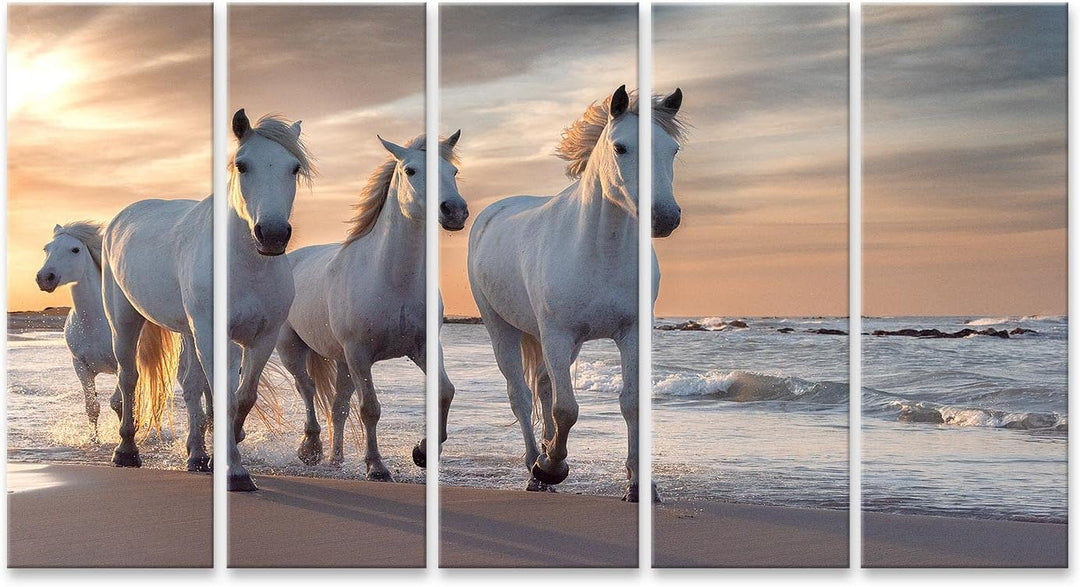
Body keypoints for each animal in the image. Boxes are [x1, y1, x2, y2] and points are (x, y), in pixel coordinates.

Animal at [36, 222, 209, 445]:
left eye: (75, 249)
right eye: (47, 249)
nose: (44, 278)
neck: (93, 323)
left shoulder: (121, 363)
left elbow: (118, 402)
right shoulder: (81, 366)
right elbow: (93, 407)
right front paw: (94, 440)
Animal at [102, 109, 310, 491]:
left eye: (294, 168)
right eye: (242, 165)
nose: (272, 235)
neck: (247, 267)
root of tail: (119, 220)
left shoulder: (263, 338)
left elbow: (242, 396)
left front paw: (230, 445)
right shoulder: (214, 332)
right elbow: (224, 398)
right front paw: (236, 471)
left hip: (190, 331)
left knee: (191, 385)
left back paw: (198, 456)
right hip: (124, 321)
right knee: (129, 378)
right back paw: (126, 451)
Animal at [275, 132, 467, 480]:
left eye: (453, 171)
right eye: (411, 171)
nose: (454, 211)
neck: (392, 279)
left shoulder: (423, 347)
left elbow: (444, 391)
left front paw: (422, 452)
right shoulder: (360, 353)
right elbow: (370, 409)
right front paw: (377, 466)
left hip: (342, 362)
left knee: (337, 406)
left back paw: (336, 459)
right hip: (293, 349)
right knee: (307, 389)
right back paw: (311, 449)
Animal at [467, 85, 684, 502]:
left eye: (673, 150)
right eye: (621, 147)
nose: (664, 218)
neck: (600, 252)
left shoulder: (630, 334)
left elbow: (630, 404)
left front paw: (639, 485)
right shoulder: (557, 333)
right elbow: (566, 409)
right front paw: (551, 468)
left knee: (544, 386)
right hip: (502, 328)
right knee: (521, 396)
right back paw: (536, 469)